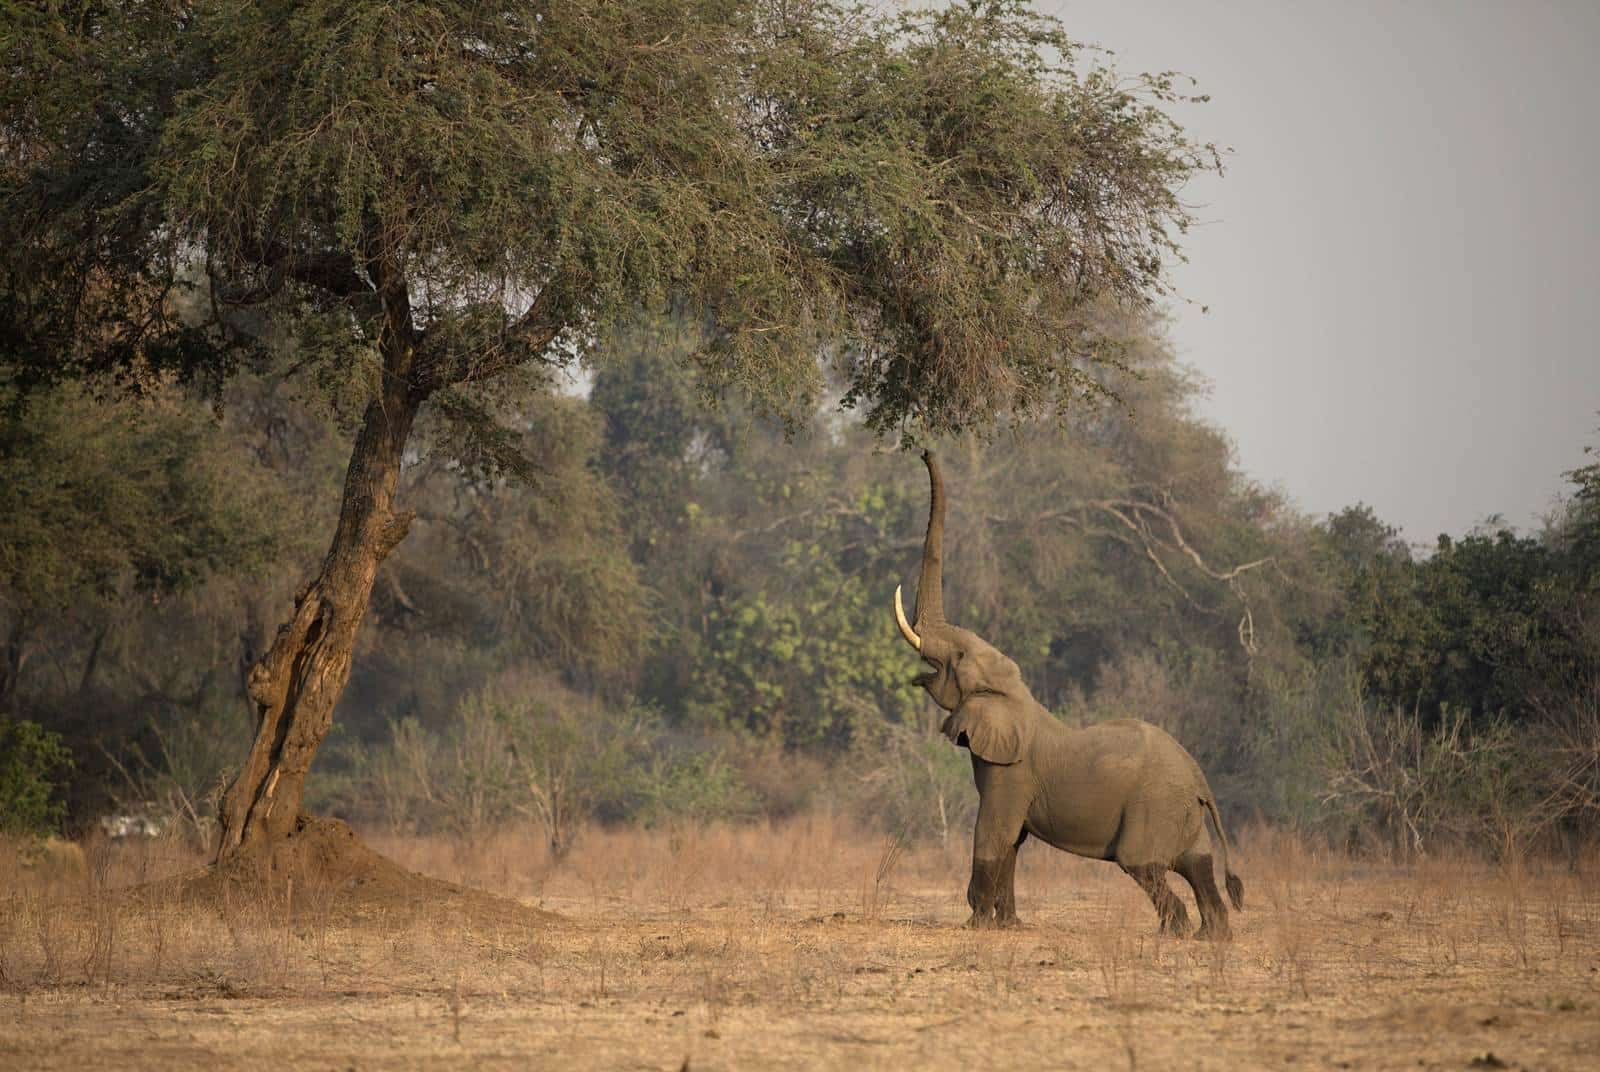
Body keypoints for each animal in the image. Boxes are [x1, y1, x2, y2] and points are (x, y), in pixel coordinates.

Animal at [896, 451, 1241, 940]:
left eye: (958, 658)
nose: (925, 451)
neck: (1017, 697)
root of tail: (1200, 780)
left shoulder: (1012, 772)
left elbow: (994, 834)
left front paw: (975, 925)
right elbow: (1013, 842)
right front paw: (1010, 925)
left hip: (1153, 808)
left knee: (1145, 866)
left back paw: (1173, 933)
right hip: (1181, 813)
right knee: (1198, 866)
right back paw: (1211, 937)